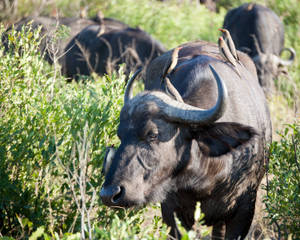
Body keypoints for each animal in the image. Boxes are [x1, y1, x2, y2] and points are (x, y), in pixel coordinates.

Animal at [100, 39, 272, 238]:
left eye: (153, 134)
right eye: (120, 135)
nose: (109, 194)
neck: (205, 176)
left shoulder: (244, 209)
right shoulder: (171, 211)